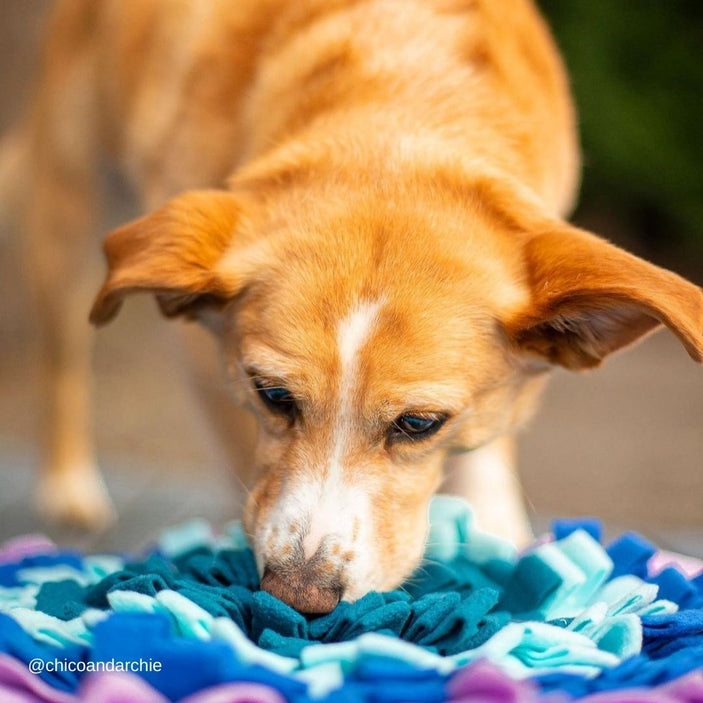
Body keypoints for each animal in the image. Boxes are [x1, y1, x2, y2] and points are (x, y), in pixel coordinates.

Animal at [1, 0, 703, 616]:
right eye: (272, 395)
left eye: (419, 424)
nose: (298, 597)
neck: (398, 120)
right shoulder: (204, 362)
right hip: (69, 212)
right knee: (62, 353)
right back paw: (68, 486)